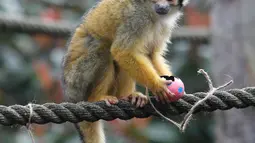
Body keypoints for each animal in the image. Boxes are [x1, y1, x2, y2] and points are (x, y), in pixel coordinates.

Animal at [61, 0, 189, 142]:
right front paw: (158, 85)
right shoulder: (136, 18)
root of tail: (70, 97)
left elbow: (152, 55)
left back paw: (127, 96)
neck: (152, 13)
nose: (162, 7)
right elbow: (122, 52)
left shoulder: (165, 25)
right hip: (76, 81)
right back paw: (97, 97)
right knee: (103, 48)